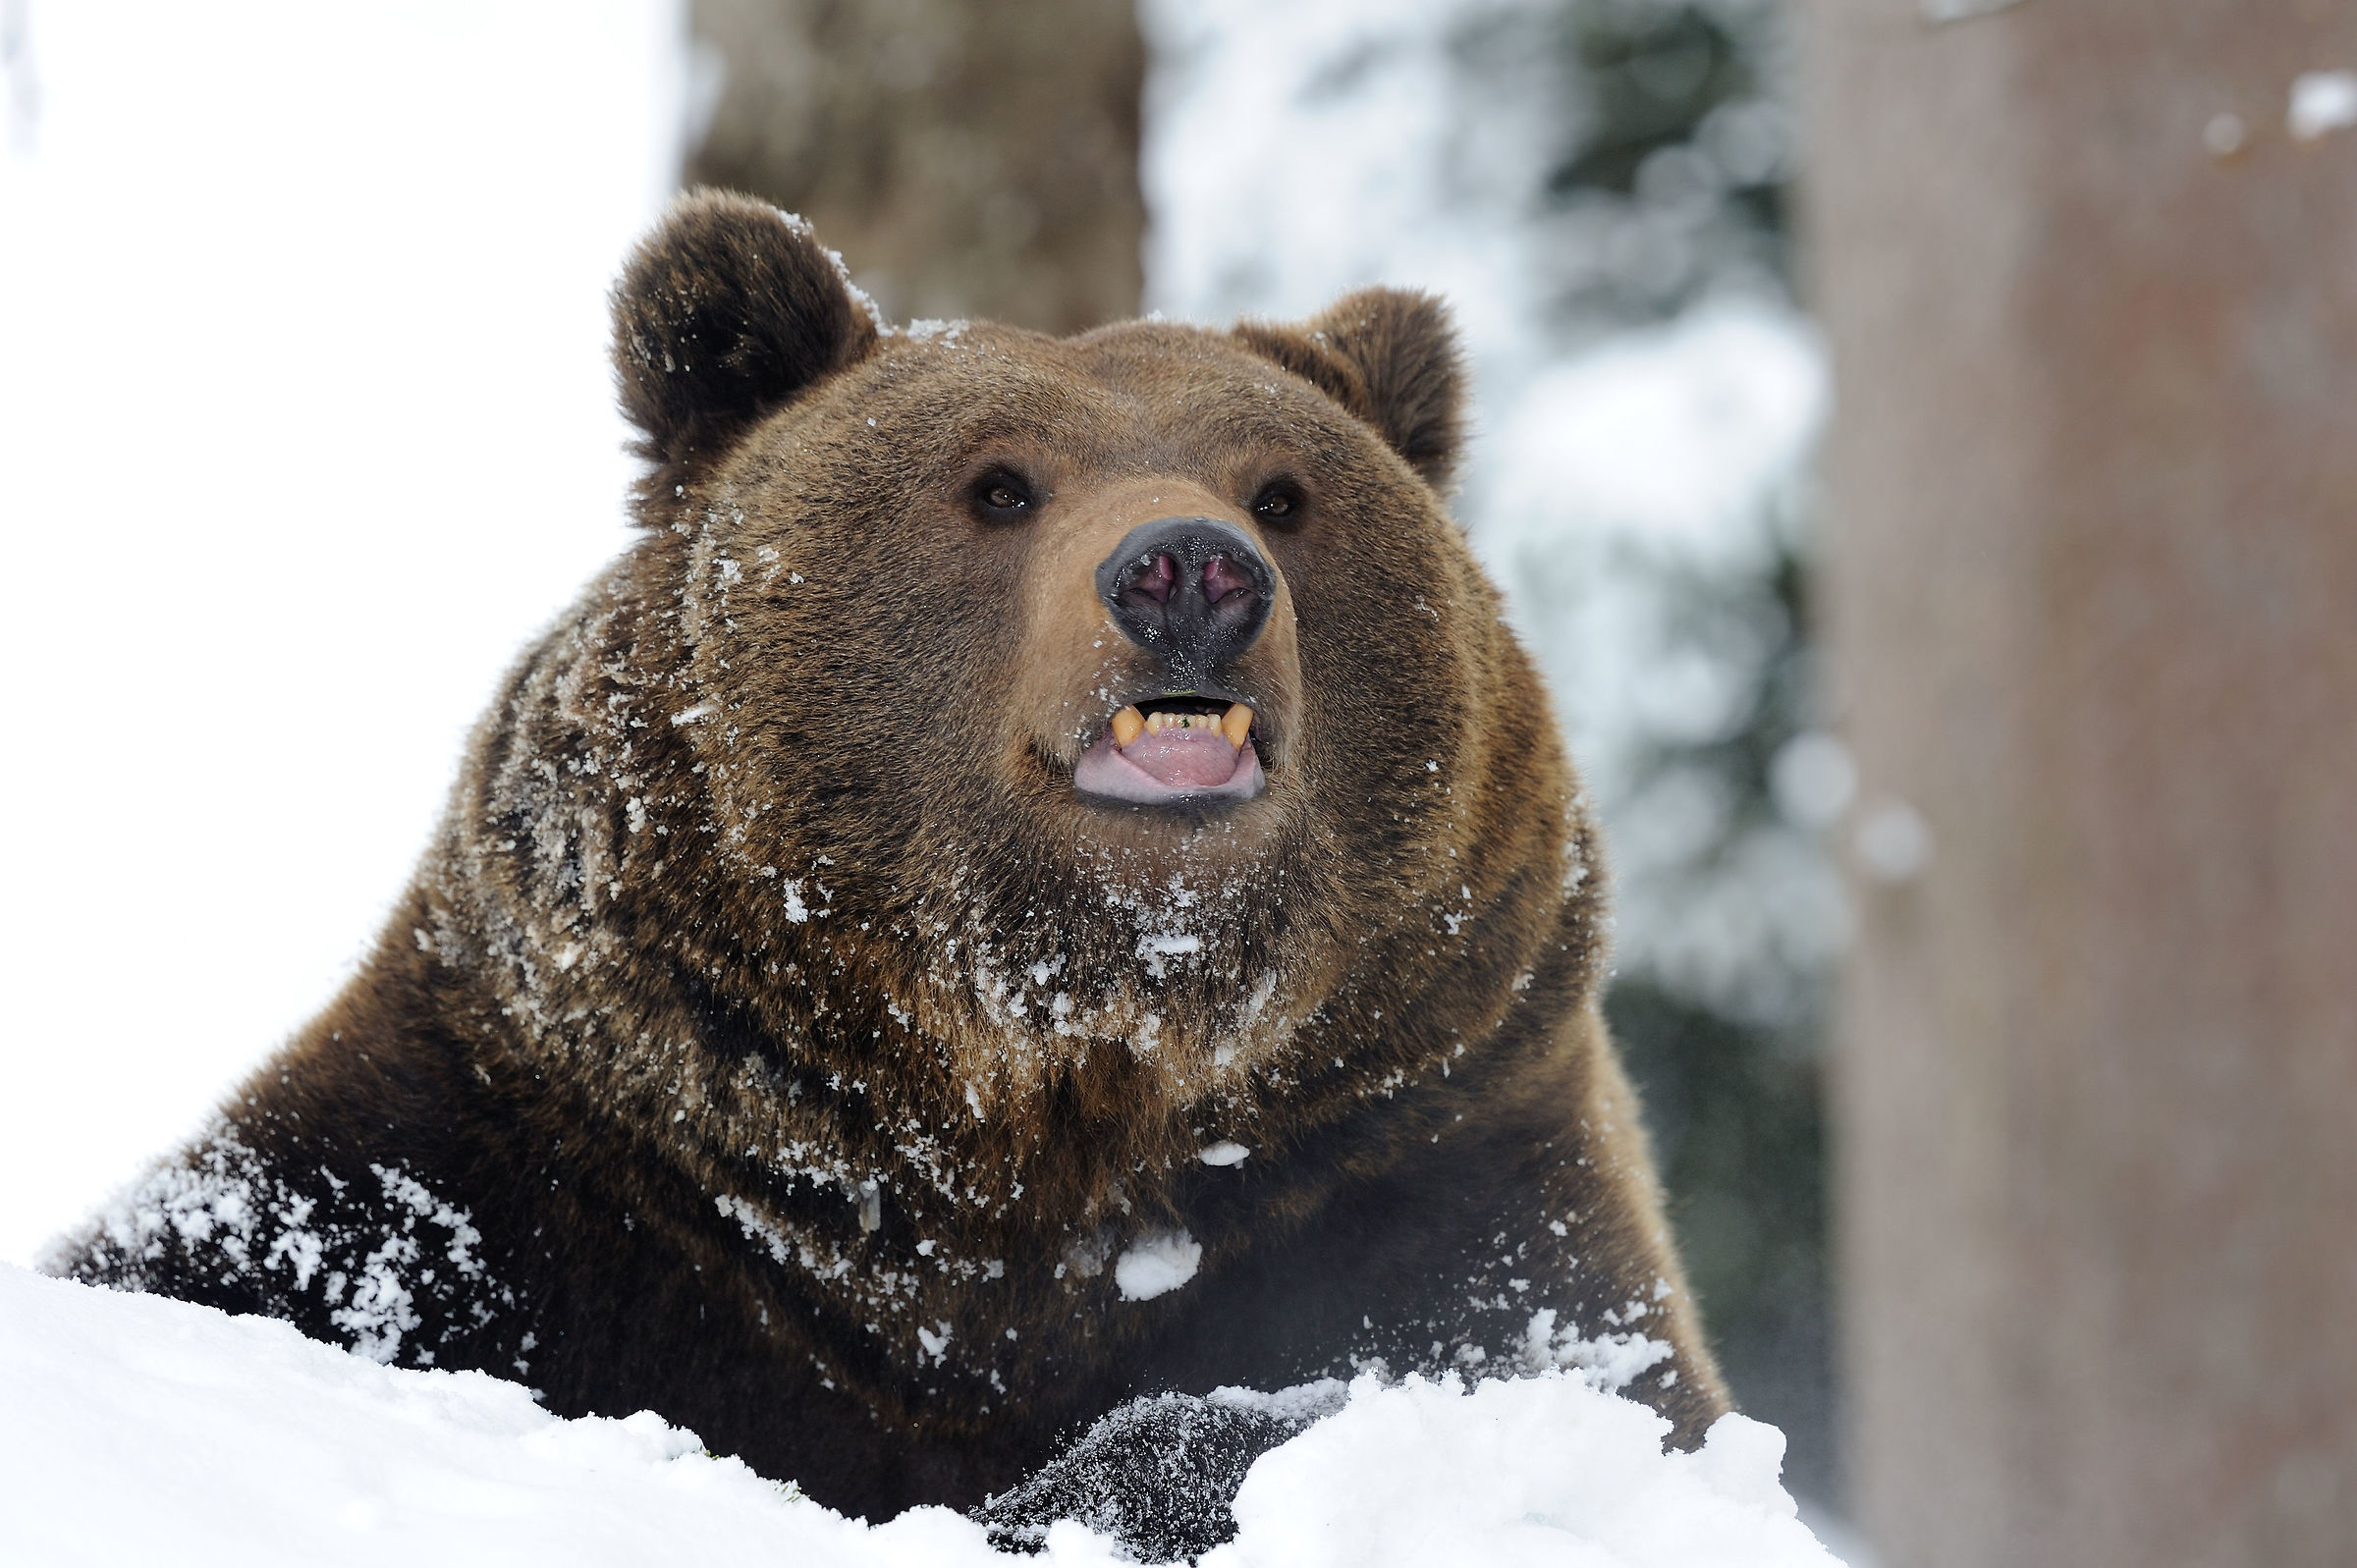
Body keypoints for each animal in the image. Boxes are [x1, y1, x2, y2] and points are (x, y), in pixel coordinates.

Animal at [47, 189, 1728, 1542]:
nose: (1189, 569)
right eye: (999, 484)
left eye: (1283, 491)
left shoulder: (1414, 1128)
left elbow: (1563, 1386)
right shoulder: (565, 1159)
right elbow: (230, 1265)